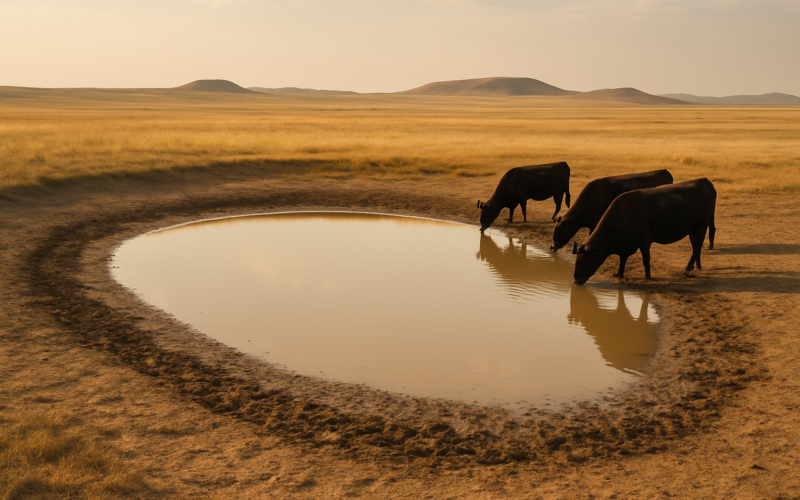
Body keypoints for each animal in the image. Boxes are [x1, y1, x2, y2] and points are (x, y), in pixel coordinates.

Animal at [573, 178, 717, 285]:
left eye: (586, 258)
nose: (576, 279)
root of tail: (704, 181)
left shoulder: (644, 242)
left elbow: (646, 259)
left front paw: (648, 276)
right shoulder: (625, 247)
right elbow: (623, 260)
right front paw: (619, 274)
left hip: (700, 226)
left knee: (696, 247)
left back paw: (687, 269)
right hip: (696, 229)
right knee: (697, 247)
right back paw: (695, 267)